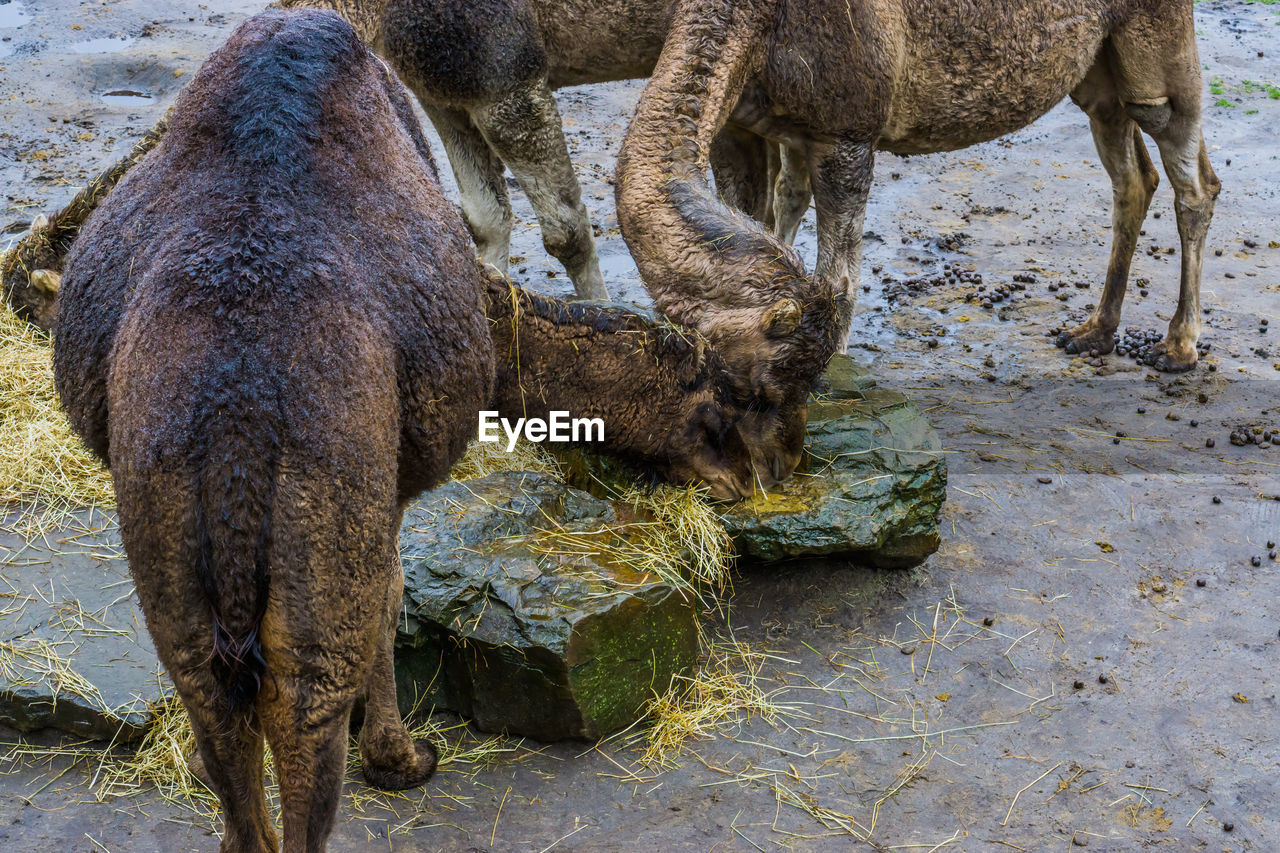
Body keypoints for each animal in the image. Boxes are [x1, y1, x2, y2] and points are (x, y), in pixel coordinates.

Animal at [52, 9, 488, 845]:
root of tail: (237, 413)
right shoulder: (383, 492)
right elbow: (390, 594)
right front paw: (402, 758)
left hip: (161, 499)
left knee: (213, 695)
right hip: (327, 493)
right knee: (306, 716)